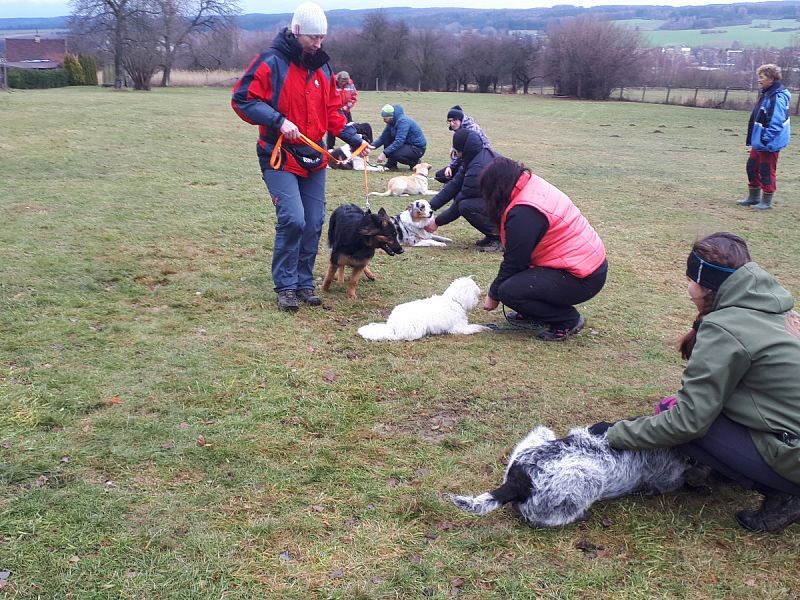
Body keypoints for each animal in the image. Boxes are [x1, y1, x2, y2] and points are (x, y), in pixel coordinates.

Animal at [358, 276, 488, 342]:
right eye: (476, 294)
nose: (478, 302)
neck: (454, 300)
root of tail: (391, 326)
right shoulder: (459, 328)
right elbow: (475, 327)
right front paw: (484, 328)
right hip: (416, 330)